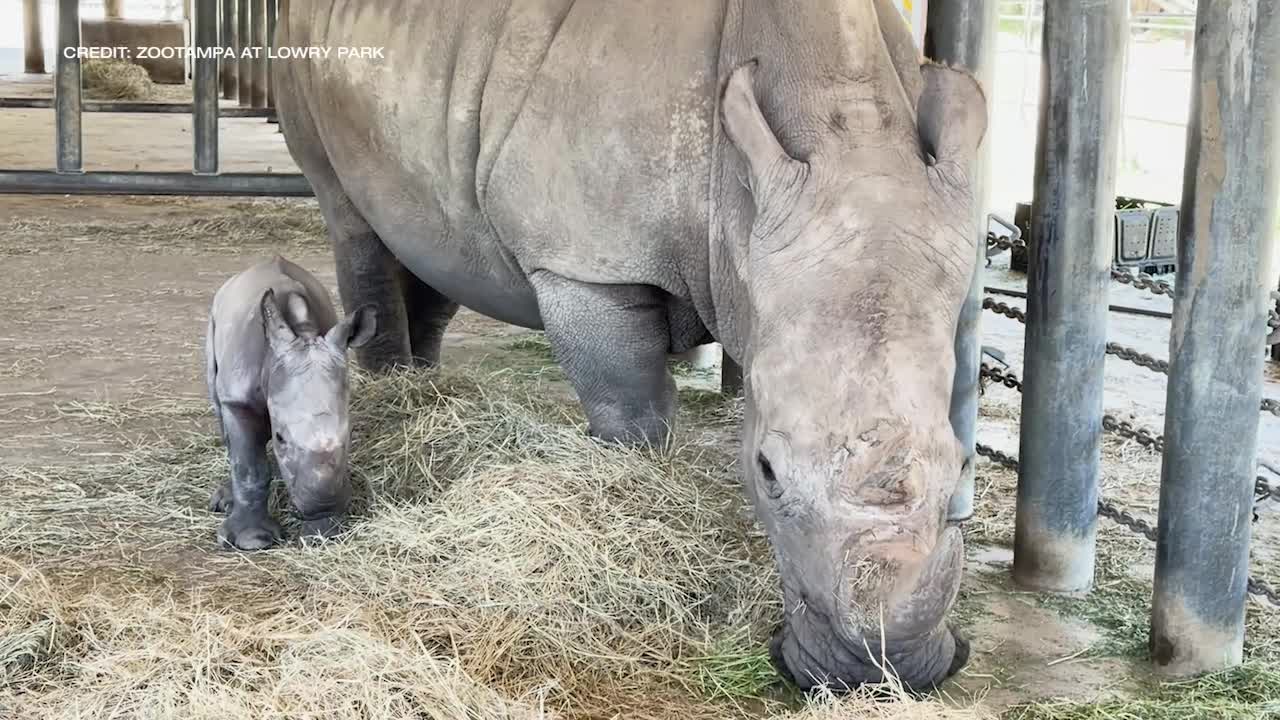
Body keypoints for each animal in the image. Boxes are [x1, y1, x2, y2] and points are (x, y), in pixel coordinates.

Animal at [205, 256, 376, 549]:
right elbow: (248, 466)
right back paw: (225, 502)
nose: (322, 506)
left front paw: (323, 533)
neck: (303, 332)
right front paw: (253, 541)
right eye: (280, 438)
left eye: (351, 435)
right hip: (214, 320)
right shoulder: (237, 399)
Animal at [272, 0, 987, 692]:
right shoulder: (585, 264)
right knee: (352, 219)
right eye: (765, 471)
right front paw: (629, 495)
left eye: (963, 468)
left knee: (438, 246)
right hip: (304, 62)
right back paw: (393, 387)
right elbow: (634, 412)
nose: (879, 673)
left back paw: (424, 386)